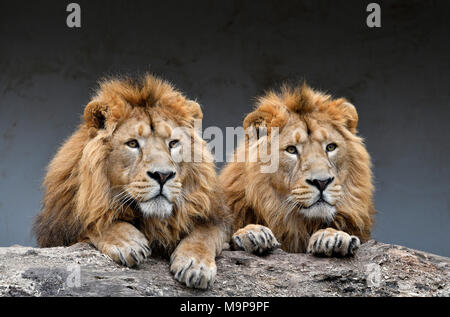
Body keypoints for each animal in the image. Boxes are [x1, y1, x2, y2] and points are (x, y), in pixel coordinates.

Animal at [34, 74, 232, 288]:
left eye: (173, 143)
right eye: (132, 143)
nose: (163, 175)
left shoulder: (216, 216)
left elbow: (207, 232)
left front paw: (196, 264)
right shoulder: (59, 228)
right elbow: (93, 220)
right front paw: (128, 242)